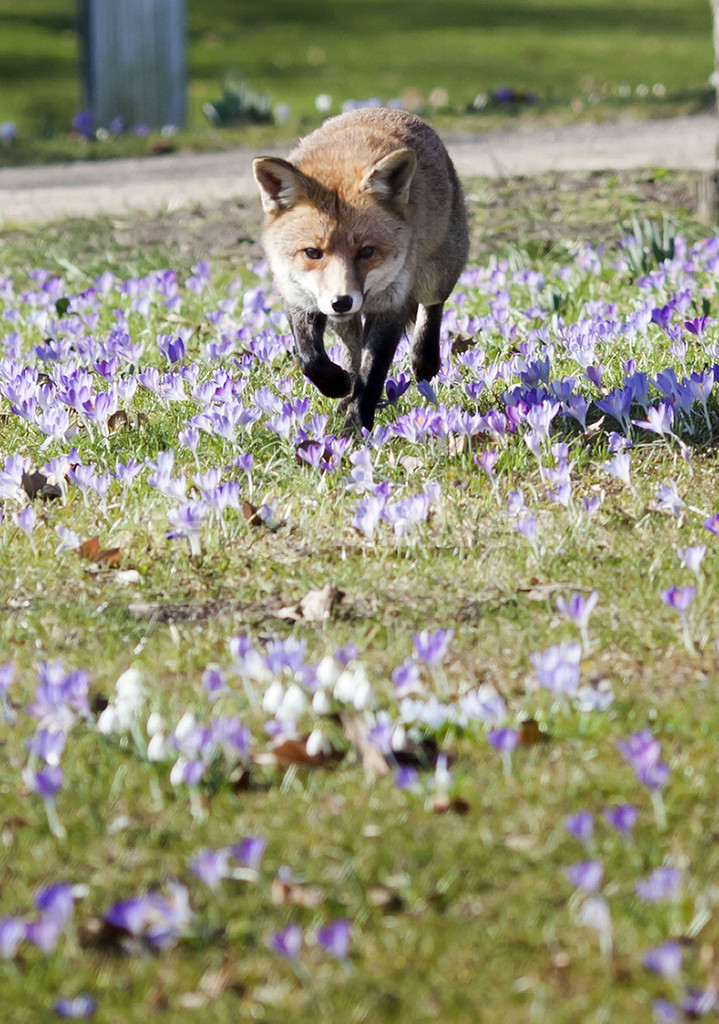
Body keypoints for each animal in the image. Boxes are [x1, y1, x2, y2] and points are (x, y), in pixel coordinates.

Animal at [255, 110, 473, 430]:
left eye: (367, 252)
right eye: (312, 253)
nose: (342, 301)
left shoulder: (390, 305)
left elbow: (372, 376)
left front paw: (356, 428)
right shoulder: (298, 295)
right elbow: (310, 358)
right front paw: (337, 385)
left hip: (437, 273)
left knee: (431, 308)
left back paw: (424, 360)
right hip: (341, 321)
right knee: (352, 349)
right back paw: (344, 392)